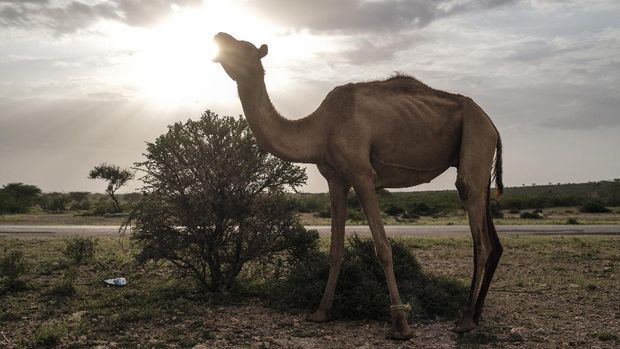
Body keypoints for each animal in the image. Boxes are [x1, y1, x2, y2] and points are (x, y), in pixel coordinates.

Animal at [213, 32, 504, 338]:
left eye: (243, 47)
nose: (219, 36)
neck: (320, 128)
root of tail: (492, 124)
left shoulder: (362, 173)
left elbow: (383, 248)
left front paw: (401, 326)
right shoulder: (336, 179)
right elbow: (336, 247)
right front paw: (321, 313)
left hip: (476, 134)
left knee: (478, 233)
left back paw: (465, 321)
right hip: (479, 158)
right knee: (492, 238)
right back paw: (476, 314)